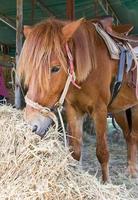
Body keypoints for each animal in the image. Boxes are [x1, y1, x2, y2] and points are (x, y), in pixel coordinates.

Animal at [17, 18, 138, 182]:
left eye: (55, 68)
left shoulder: (100, 111)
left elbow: (102, 152)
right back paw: (131, 171)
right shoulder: (74, 110)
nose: (32, 125)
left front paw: (106, 183)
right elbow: (75, 152)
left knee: (133, 136)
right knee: (129, 136)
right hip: (121, 110)